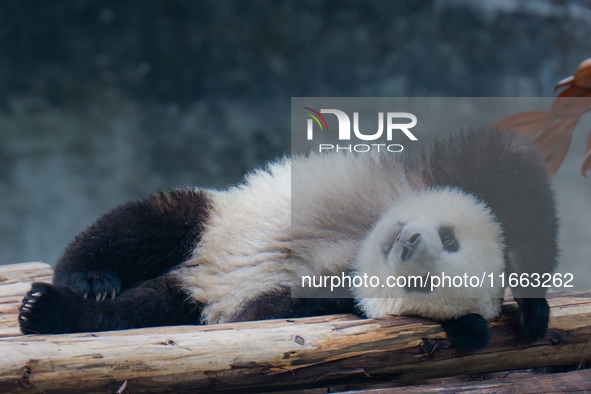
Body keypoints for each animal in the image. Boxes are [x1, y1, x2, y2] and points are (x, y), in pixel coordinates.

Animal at [17, 127, 556, 350]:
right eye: (448, 238)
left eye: (425, 284)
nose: (406, 243)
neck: (359, 247)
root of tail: (193, 277)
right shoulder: (431, 174)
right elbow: (509, 168)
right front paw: (534, 310)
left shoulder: (324, 298)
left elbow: (269, 311)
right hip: (213, 220)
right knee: (144, 225)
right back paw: (88, 280)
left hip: (186, 300)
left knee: (138, 312)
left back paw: (50, 311)